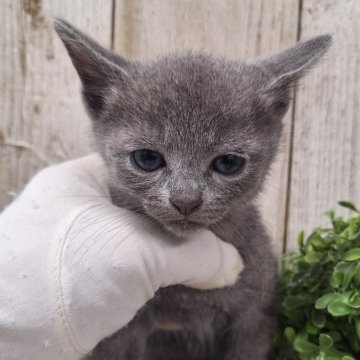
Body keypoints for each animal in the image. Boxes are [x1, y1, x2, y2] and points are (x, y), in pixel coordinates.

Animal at [54, 20, 332, 360]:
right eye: (147, 159)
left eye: (228, 163)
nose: (186, 199)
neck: (185, 299)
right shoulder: (116, 334)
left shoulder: (254, 318)